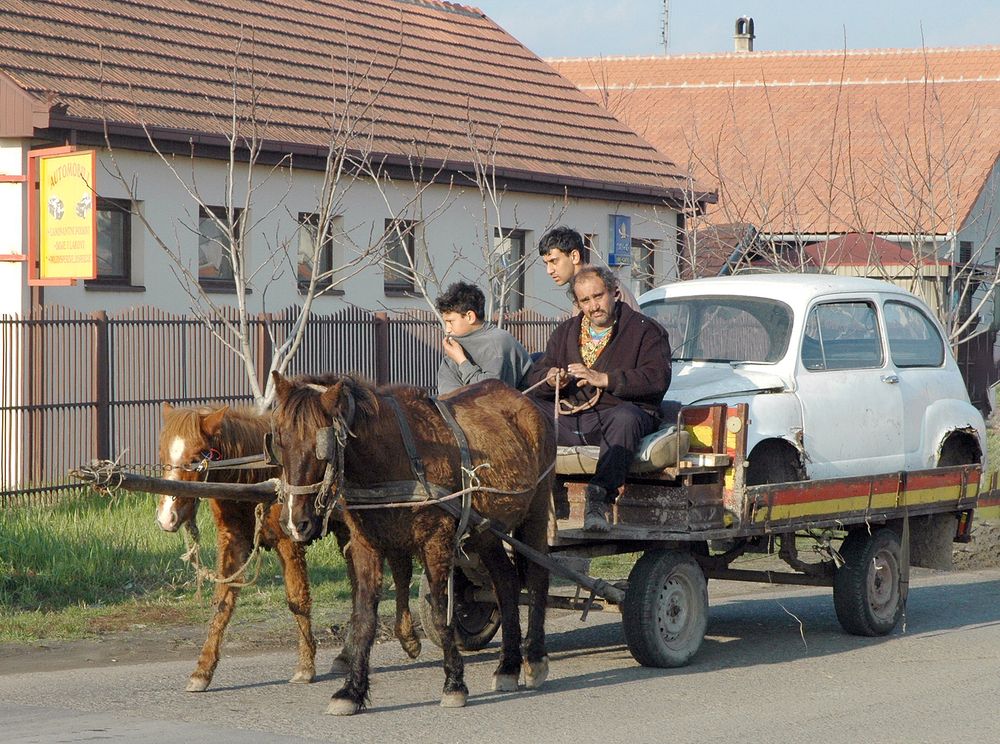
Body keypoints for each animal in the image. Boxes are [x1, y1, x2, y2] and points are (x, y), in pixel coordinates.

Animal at [154, 402, 421, 693]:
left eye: (196, 456)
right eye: (162, 453)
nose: (166, 517)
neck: (258, 476)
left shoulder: (289, 540)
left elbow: (297, 600)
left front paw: (305, 666)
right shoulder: (233, 541)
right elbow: (223, 602)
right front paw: (203, 670)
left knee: (400, 569)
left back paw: (408, 637)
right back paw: (348, 655)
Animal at [271, 373, 554, 715]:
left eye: (320, 447)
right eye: (279, 441)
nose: (295, 522)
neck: (392, 457)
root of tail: (525, 401)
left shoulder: (436, 541)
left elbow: (440, 613)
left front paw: (454, 683)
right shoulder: (366, 544)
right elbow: (363, 616)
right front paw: (351, 690)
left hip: (536, 510)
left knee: (537, 577)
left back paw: (535, 659)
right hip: (488, 532)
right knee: (506, 582)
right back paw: (508, 666)